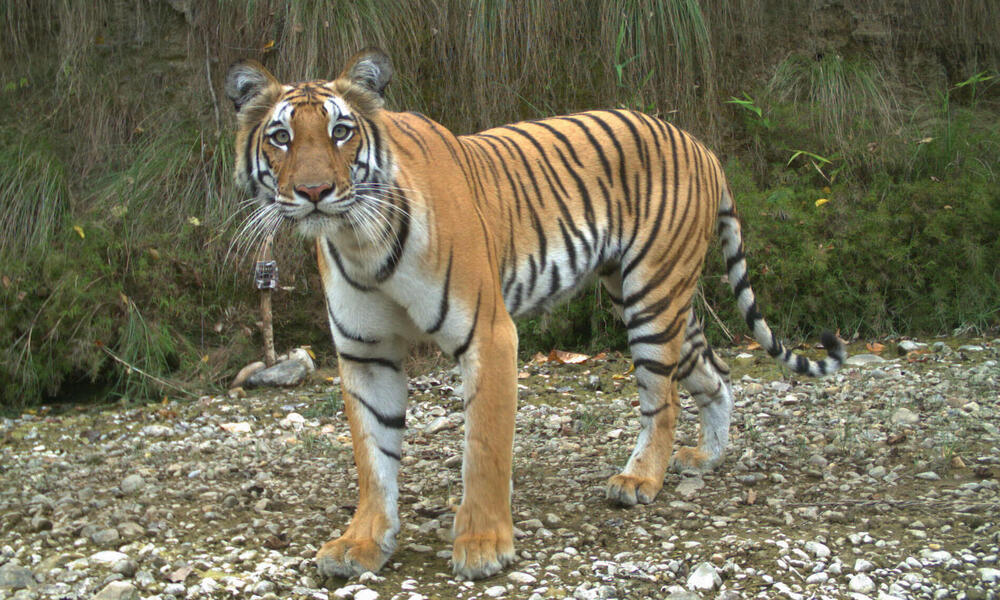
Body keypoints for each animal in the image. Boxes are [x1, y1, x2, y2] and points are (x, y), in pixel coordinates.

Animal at [225, 48, 844, 580]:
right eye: (281, 137)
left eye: (341, 131)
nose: (314, 191)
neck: (359, 239)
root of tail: (700, 144)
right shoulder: (365, 353)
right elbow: (373, 458)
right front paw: (362, 544)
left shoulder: (489, 334)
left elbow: (484, 448)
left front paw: (482, 545)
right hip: (654, 298)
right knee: (715, 374)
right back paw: (705, 458)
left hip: (652, 296)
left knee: (662, 400)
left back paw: (640, 479)